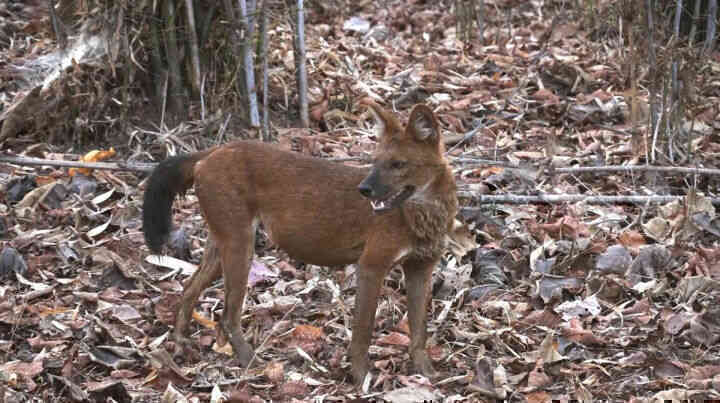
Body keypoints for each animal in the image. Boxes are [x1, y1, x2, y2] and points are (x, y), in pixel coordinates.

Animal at [143, 102, 458, 386]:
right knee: (227, 314)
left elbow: (419, 329)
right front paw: (361, 378)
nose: (364, 189)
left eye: (398, 164)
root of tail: (213, 151)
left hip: (221, 244)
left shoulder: (421, 268)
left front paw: (426, 373)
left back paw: (181, 342)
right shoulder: (371, 265)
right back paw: (251, 362)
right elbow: (363, 329)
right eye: (375, 162)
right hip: (239, 245)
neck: (425, 217)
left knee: (188, 289)